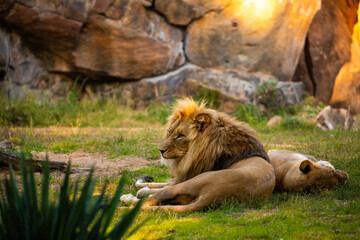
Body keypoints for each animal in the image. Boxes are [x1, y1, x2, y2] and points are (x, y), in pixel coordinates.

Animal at [121, 97, 276, 212]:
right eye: (169, 132)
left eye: (180, 136)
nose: (161, 150)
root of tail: (212, 196)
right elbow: (159, 183)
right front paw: (145, 186)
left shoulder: (187, 176)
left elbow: (162, 186)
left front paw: (142, 190)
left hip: (195, 181)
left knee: (156, 197)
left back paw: (127, 198)